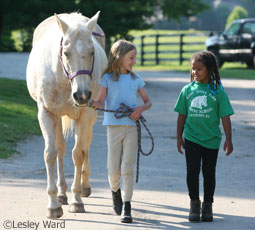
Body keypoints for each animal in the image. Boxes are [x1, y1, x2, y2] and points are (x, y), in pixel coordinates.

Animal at [25, 11, 106, 219]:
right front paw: (53, 204)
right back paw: (62, 193)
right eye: (66, 53)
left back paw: (84, 186)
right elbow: (51, 153)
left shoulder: (85, 114)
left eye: (92, 52)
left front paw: (76, 200)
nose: (82, 95)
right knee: (60, 148)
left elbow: (79, 153)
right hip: (58, 117)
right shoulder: (46, 114)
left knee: (86, 143)